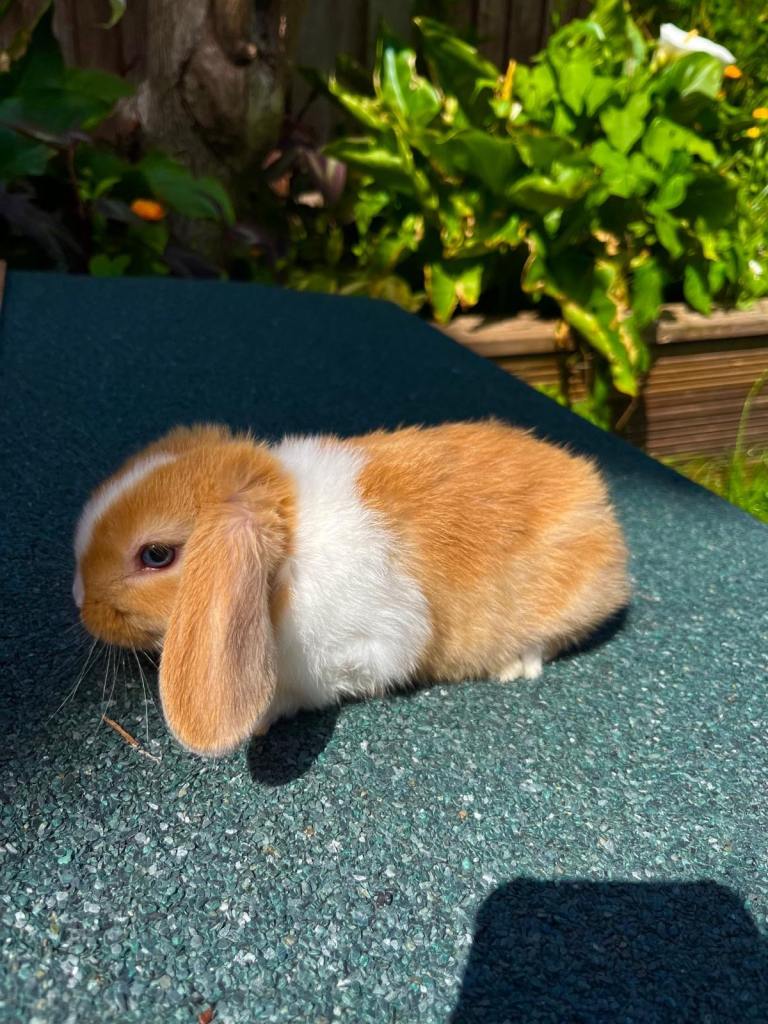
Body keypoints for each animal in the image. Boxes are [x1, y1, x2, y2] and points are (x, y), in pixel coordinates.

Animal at [73, 420, 629, 757]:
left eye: (156, 555)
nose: (80, 599)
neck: (286, 555)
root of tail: (600, 506)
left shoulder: (372, 645)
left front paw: (263, 718)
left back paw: (514, 665)